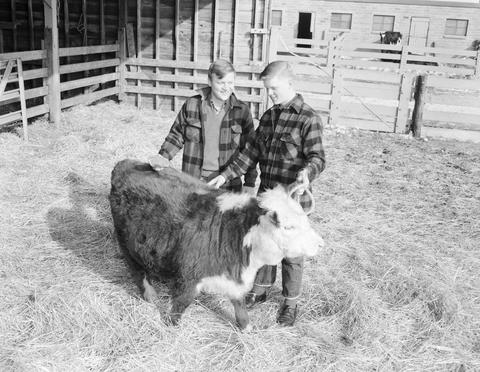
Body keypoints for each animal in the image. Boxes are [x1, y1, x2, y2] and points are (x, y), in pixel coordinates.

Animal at [109, 158, 326, 330]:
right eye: (289, 227)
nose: (320, 244)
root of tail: (125, 163)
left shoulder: (234, 277)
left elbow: (239, 303)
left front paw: (246, 327)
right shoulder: (189, 276)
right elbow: (181, 303)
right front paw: (171, 325)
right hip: (127, 242)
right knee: (136, 269)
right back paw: (149, 294)